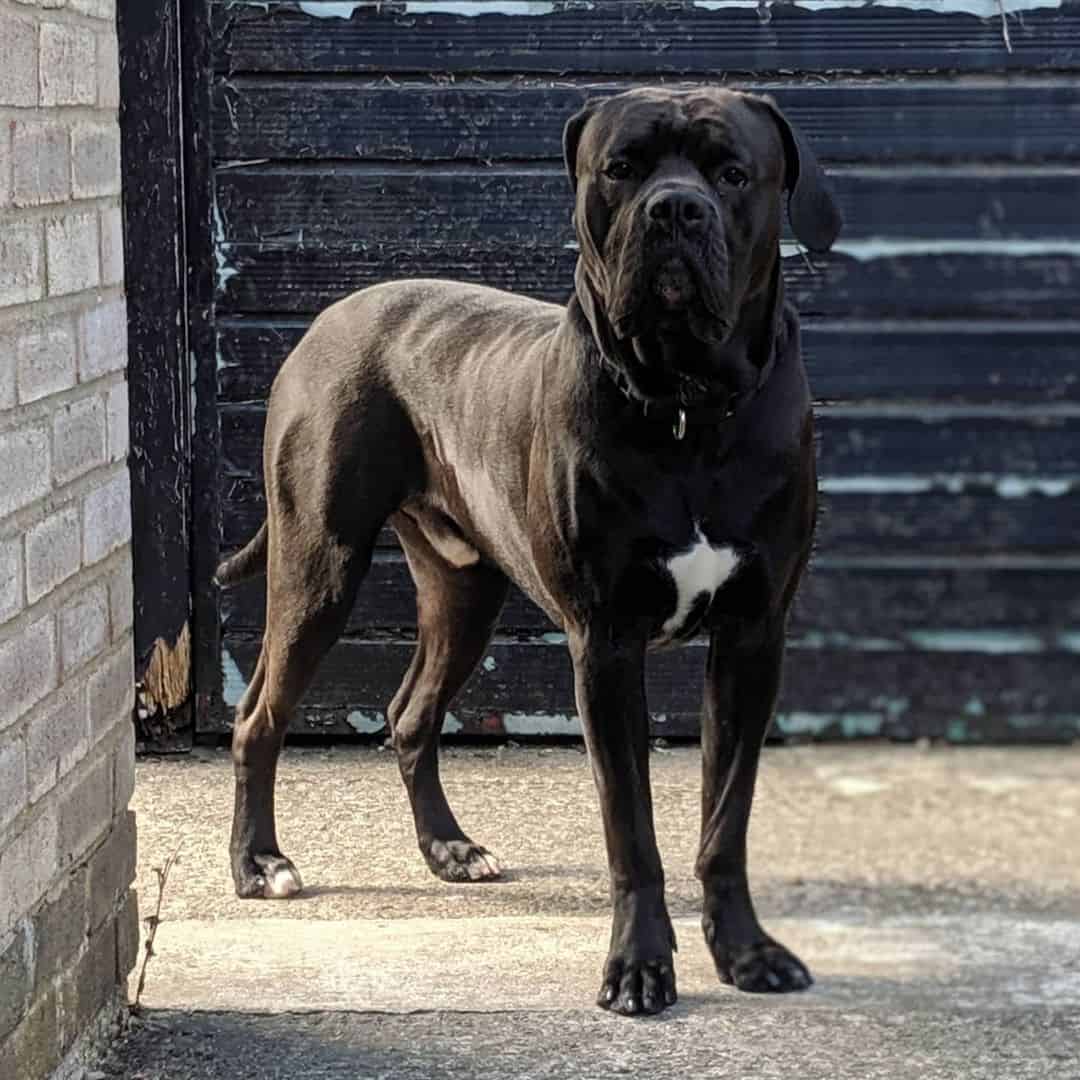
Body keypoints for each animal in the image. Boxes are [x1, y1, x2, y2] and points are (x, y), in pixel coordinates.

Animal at [217, 88, 842, 1015]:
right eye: (621, 168)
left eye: (733, 172)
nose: (676, 209)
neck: (688, 404)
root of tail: (330, 314)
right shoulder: (606, 645)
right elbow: (632, 830)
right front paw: (638, 968)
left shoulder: (753, 636)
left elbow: (725, 819)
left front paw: (746, 952)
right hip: (318, 562)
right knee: (261, 714)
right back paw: (259, 862)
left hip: (464, 590)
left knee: (410, 711)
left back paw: (450, 848)